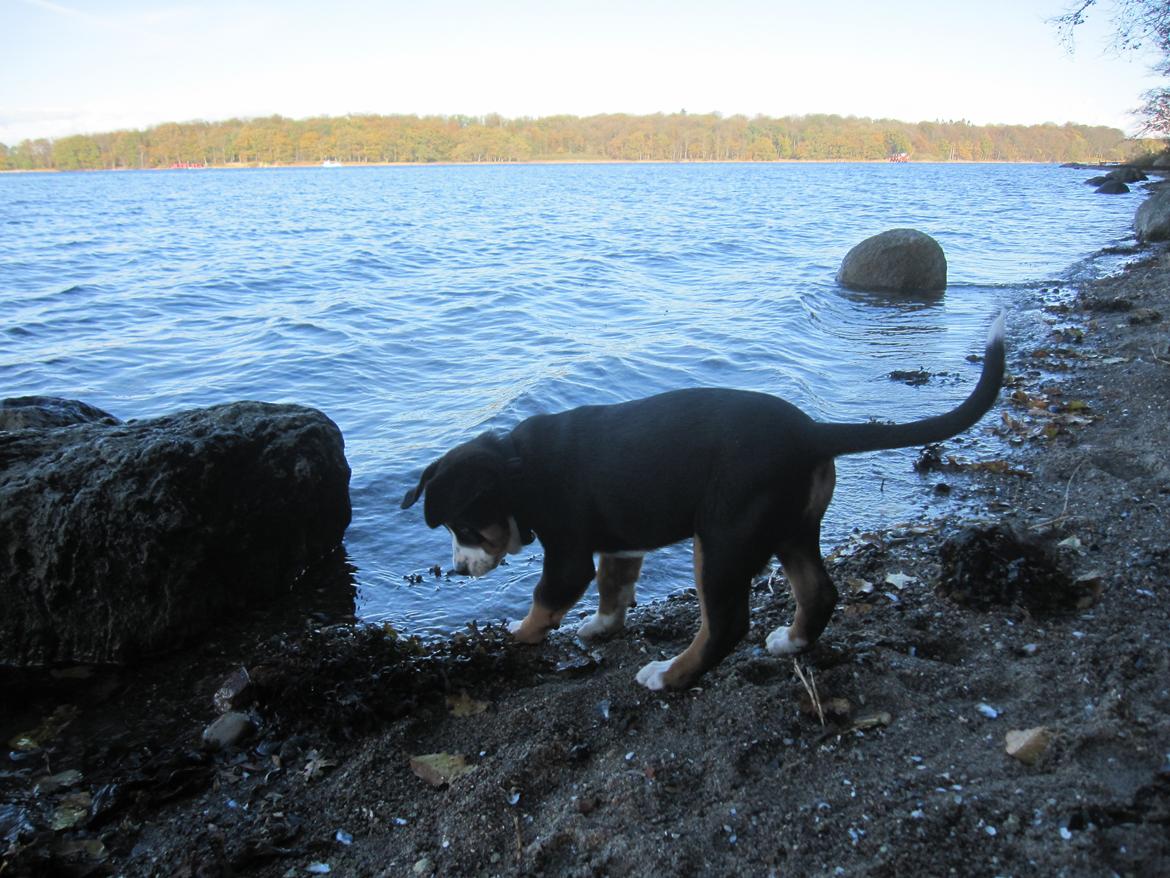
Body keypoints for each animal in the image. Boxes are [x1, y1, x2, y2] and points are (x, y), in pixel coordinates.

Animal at [402, 313, 1006, 693]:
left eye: (464, 527)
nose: (459, 569)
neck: (518, 468)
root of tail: (811, 433)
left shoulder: (569, 552)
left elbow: (547, 598)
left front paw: (518, 635)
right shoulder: (623, 543)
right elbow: (614, 587)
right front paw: (601, 627)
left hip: (723, 540)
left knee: (726, 626)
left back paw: (668, 676)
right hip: (789, 528)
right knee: (818, 591)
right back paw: (791, 642)